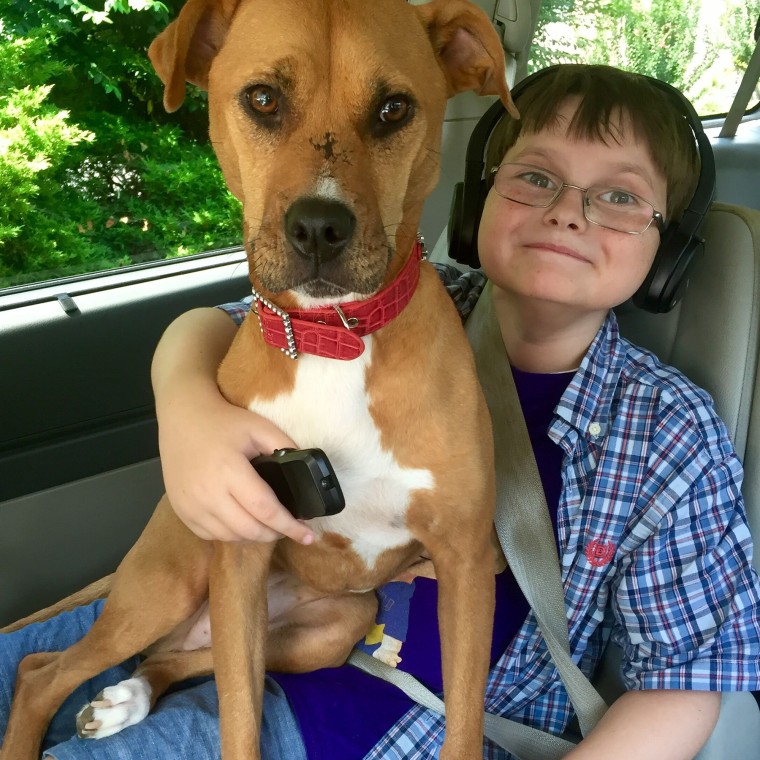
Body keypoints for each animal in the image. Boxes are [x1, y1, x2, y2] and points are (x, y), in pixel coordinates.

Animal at [1, 0, 516, 756]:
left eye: (394, 108)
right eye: (263, 99)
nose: (319, 228)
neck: (335, 340)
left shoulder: (467, 564)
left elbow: (466, 724)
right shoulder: (239, 562)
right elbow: (239, 720)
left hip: (333, 627)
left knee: (169, 659)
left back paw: (128, 698)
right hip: (181, 577)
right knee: (43, 671)